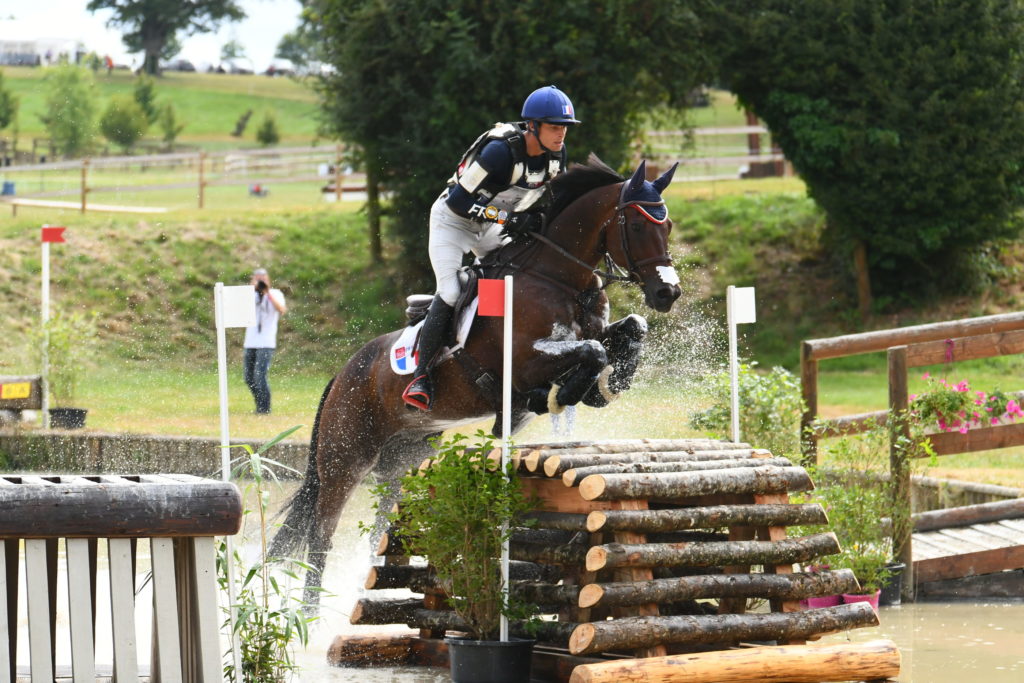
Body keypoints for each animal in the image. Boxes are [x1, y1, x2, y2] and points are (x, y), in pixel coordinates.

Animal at [272, 154, 684, 602]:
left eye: (667, 226)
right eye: (639, 225)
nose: (668, 293)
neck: (558, 278)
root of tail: (342, 374)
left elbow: (630, 328)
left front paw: (607, 385)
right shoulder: (524, 361)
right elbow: (591, 352)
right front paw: (562, 393)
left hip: (402, 460)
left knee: (378, 529)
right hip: (345, 459)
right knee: (321, 535)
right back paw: (310, 612)